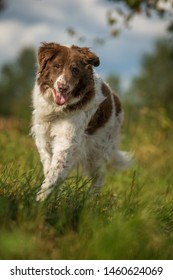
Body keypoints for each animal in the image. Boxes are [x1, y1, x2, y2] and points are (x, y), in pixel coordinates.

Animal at [31, 42, 131, 201]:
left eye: (75, 70)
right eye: (57, 66)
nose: (63, 87)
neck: (57, 110)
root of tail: (116, 99)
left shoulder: (67, 141)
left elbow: (56, 170)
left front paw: (40, 200)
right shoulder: (43, 137)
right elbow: (49, 168)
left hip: (99, 152)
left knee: (98, 179)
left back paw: (90, 202)